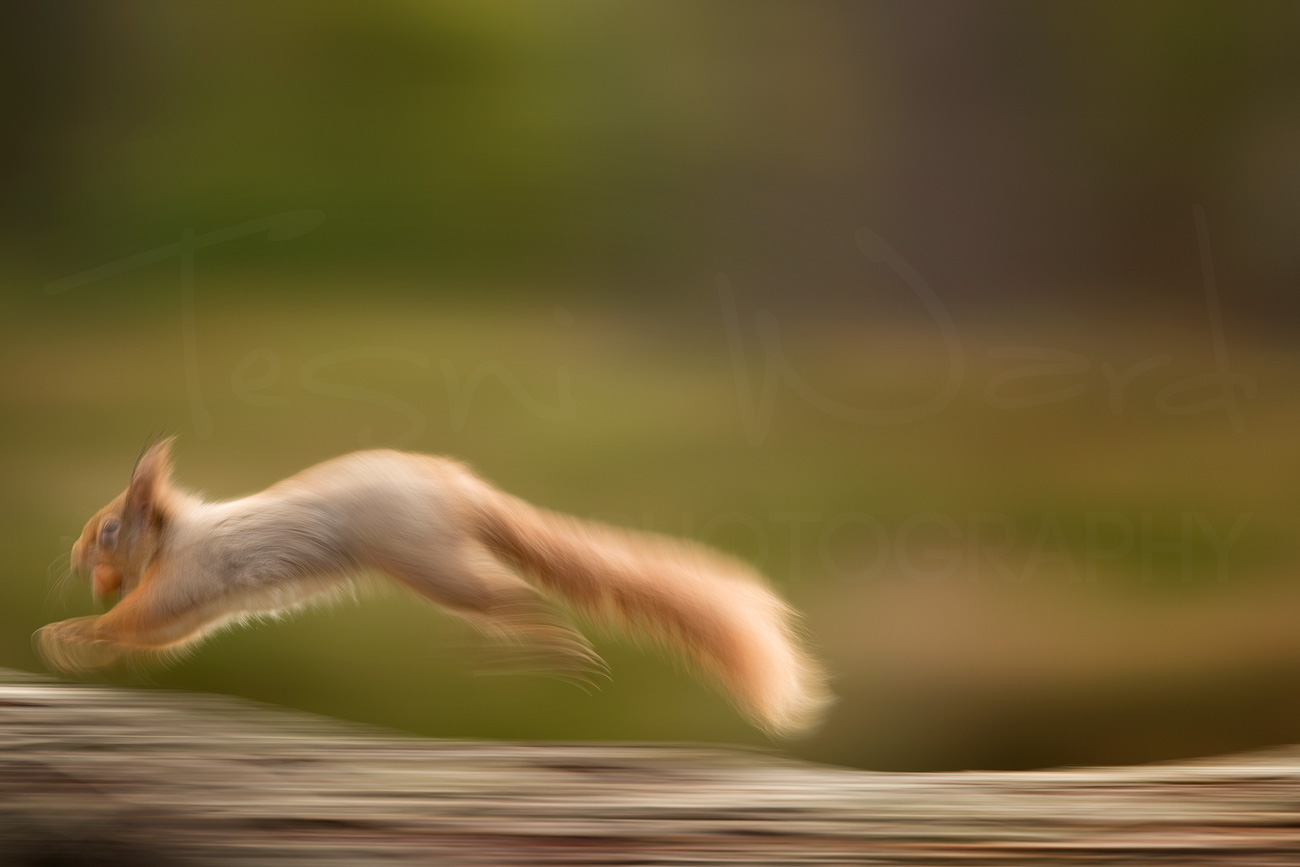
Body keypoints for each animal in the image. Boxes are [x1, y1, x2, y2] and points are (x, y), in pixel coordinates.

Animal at [38, 438, 831, 736]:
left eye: (109, 529)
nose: (72, 555)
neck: (177, 536)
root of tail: (460, 489)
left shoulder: (181, 584)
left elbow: (133, 622)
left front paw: (64, 637)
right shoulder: (188, 613)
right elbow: (157, 637)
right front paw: (76, 640)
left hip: (429, 563)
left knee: (516, 600)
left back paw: (553, 650)